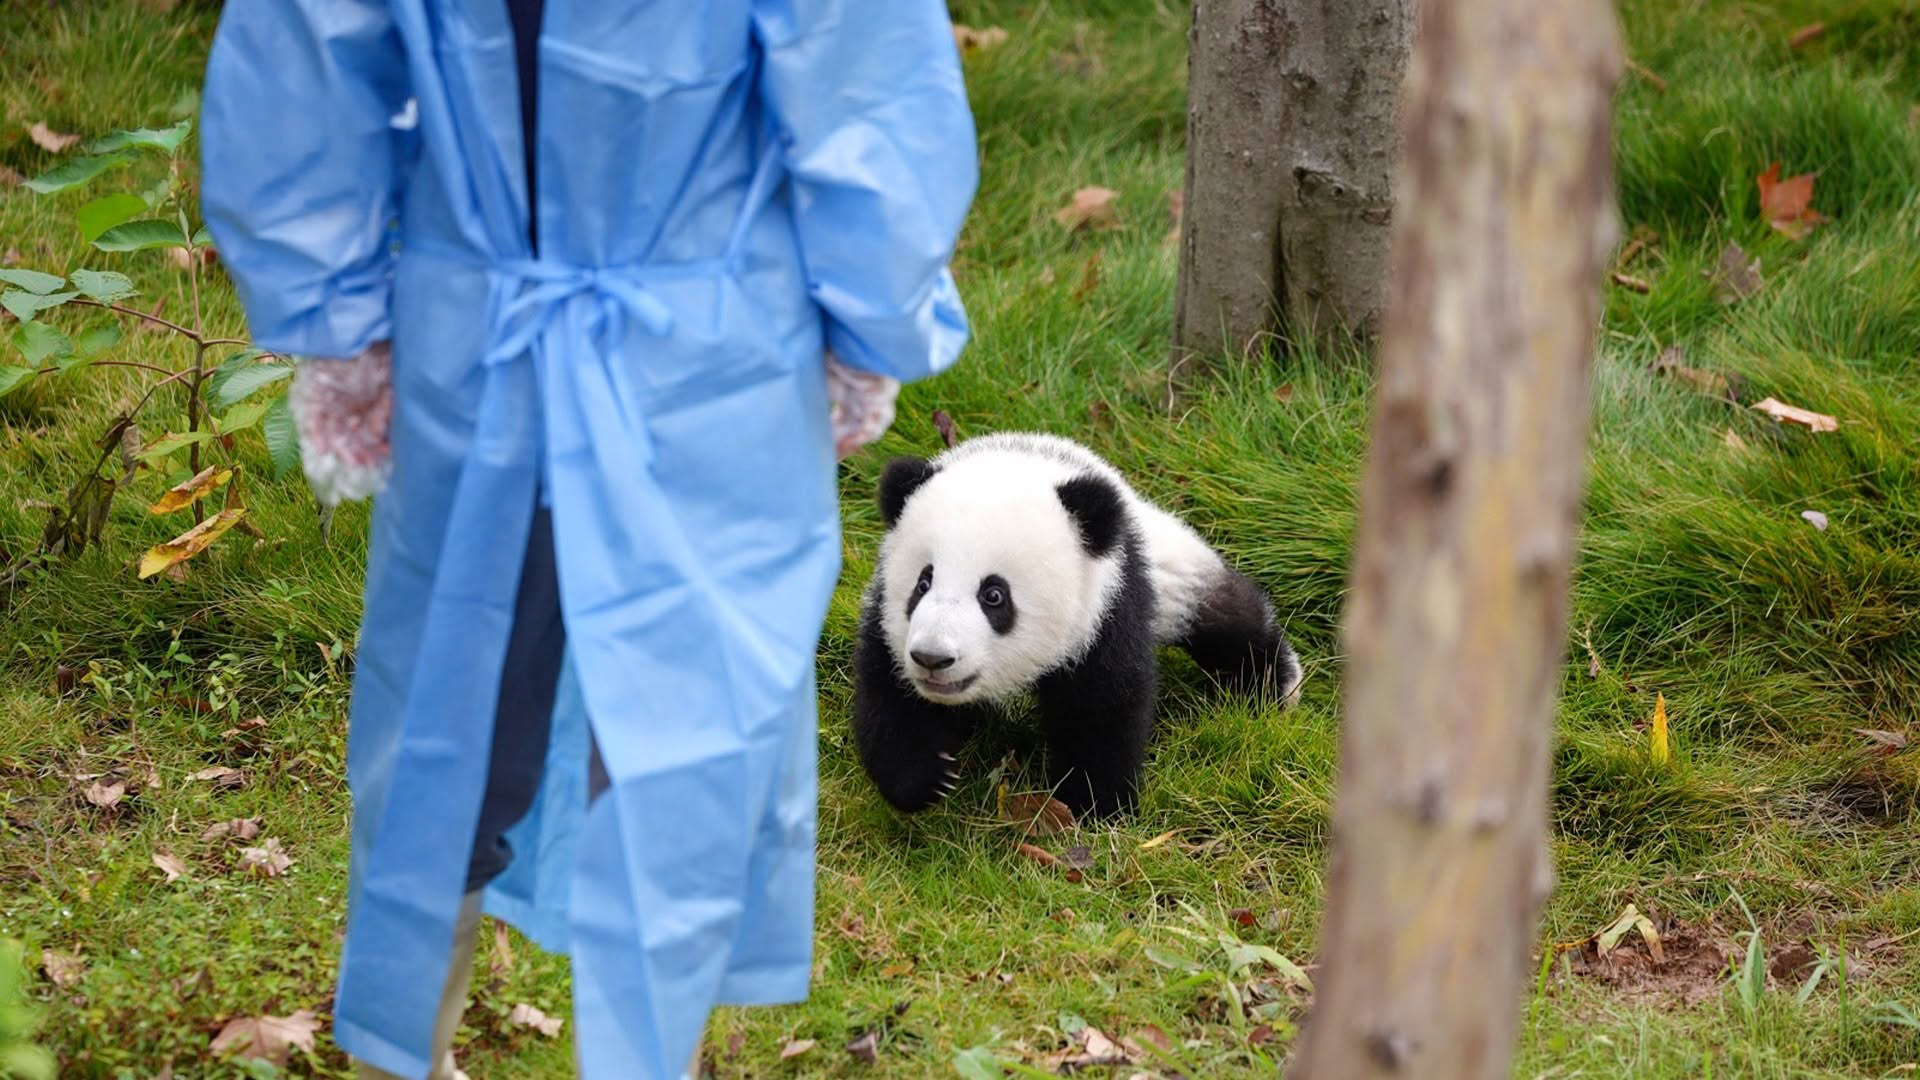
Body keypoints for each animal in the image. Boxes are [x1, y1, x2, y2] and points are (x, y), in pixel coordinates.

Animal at [849, 432, 1304, 820]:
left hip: (1171, 573)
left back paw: (1275, 682)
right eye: (922, 583)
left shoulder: (1106, 605)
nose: (933, 658)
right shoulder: (888, 625)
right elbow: (891, 697)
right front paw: (925, 778)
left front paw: (1093, 804)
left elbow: (1101, 705)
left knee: (1223, 617)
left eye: (993, 595)